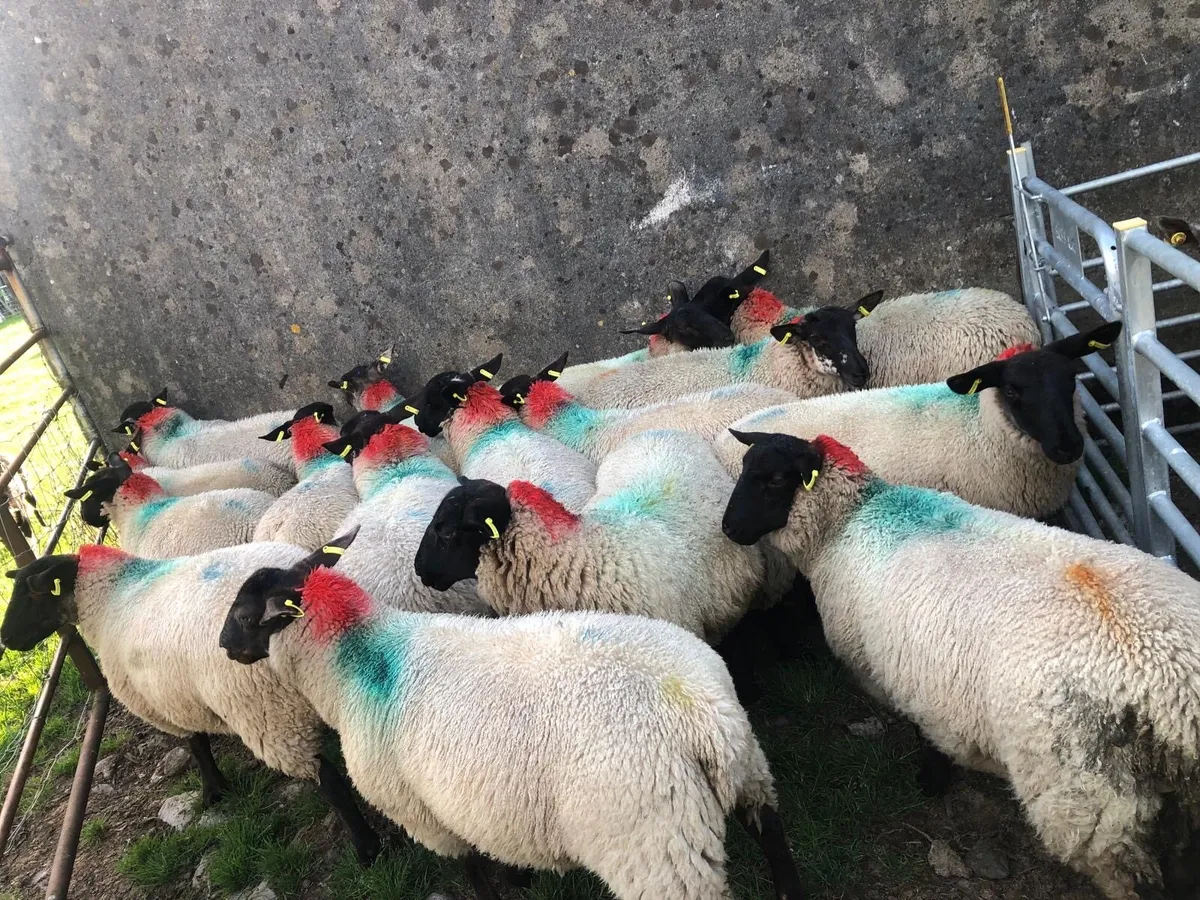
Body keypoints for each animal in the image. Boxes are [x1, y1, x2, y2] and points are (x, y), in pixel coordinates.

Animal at [1, 542, 381, 864]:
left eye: (32, 594)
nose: (7, 640)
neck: (111, 596)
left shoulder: (161, 701)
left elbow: (195, 742)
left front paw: (213, 790)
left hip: (269, 713)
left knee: (326, 777)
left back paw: (366, 847)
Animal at [219, 529, 804, 900]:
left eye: (245, 616)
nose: (224, 647)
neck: (359, 662)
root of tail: (702, 719)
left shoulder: (426, 813)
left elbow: (474, 870)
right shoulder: (469, 804)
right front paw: (522, 878)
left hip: (655, 846)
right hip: (751, 774)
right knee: (776, 842)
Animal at [721, 430, 1200, 900]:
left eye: (775, 480)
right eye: (745, 467)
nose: (728, 528)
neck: (851, 521)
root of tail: (1171, 683)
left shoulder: (905, 674)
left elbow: (924, 731)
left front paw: (931, 780)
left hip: (1090, 796)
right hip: (1171, 797)